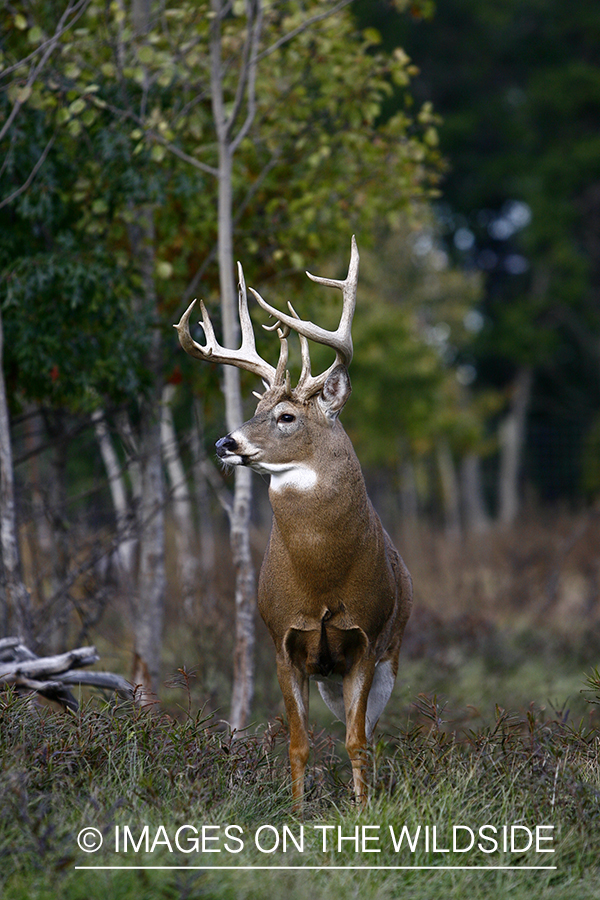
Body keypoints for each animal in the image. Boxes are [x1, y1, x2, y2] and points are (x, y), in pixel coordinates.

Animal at [175, 239, 412, 808]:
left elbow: (356, 740)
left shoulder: (368, 639)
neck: (322, 575)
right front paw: (299, 812)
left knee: (371, 732)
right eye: (256, 407)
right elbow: (299, 743)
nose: (225, 442)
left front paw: (362, 812)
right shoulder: (281, 639)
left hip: (392, 652)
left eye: (286, 417)